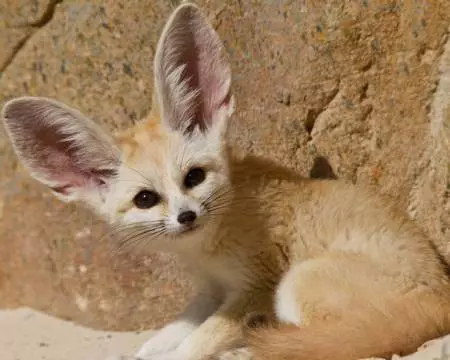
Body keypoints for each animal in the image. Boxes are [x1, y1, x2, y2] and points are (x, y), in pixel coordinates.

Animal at [1, 2, 448, 360]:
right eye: (146, 199)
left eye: (194, 177)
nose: (186, 216)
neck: (208, 247)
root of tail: (441, 299)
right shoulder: (211, 289)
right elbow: (175, 329)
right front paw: (147, 349)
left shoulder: (255, 285)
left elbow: (195, 343)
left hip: (297, 283)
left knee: (331, 340)